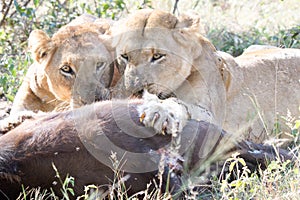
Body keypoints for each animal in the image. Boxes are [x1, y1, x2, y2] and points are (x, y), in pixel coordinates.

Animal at [110, 9, 300, 144]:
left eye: (157, 56)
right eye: (125, 56)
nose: (135, 91)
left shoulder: (214, 119)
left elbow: (182, 105)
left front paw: (160, 111)